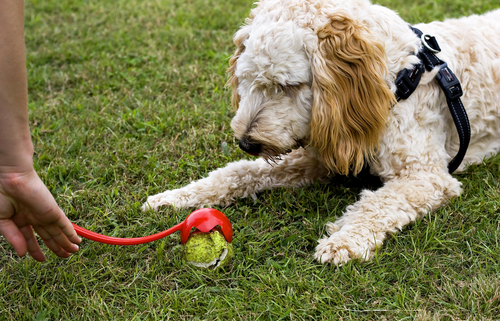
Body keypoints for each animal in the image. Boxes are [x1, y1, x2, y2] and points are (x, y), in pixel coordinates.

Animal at [142, 0, 500, 264]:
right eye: (246, 78)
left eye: (289, 85)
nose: (246, 143)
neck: (394, 83)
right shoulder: (320, 156)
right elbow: (239, 172)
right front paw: (175, 197)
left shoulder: (426, 176)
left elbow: (378, 203)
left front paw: (343, 239)